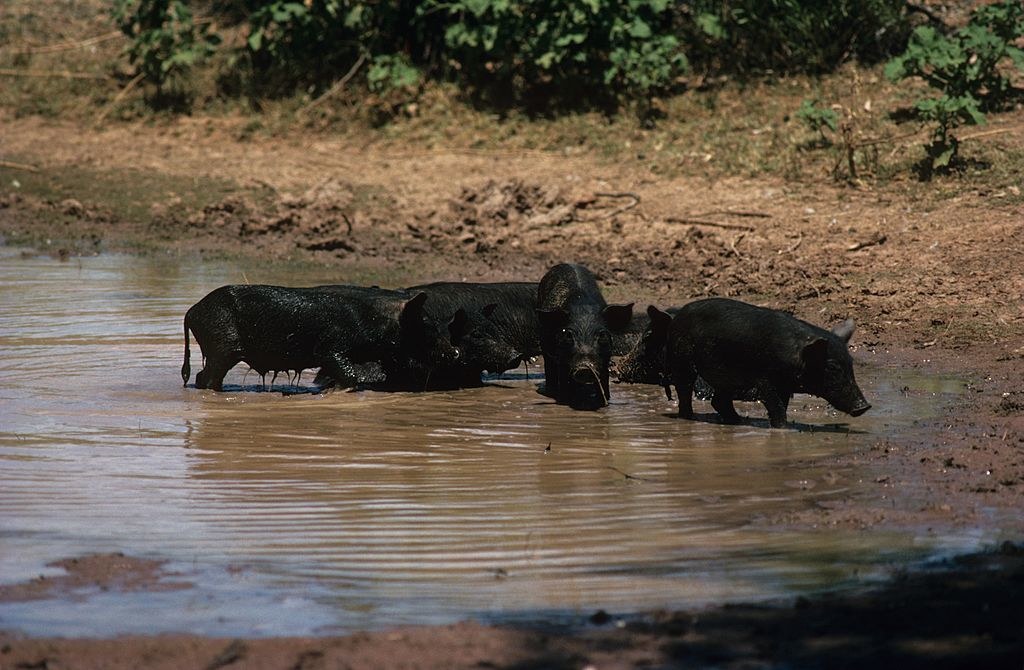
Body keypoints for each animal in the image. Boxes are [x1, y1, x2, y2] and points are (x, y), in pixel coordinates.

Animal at [182, 284, 458, 391]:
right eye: (427, 324)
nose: (454, 352)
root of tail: (191, 311)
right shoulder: (330, 346)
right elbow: (343, 370)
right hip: (221, 345)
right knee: (206, 377)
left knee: (202, 376)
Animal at [536, 262, 630, 409]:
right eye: (568, 334)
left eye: (602, 335)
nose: (585, 367)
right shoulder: (561, 358)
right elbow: (564, 383)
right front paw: (565, 401)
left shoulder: (605, 359)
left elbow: (604, 384)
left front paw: (604, 402)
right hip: (545, 349)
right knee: (550, 371)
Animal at [663, 301, 872, 430]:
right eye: (832, 368)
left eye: (851, 365)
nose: (864, 406)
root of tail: (678, 316)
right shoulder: (764, 380)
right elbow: (776, 407)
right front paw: (783, 429)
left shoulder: (784, 386)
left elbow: (783, 406)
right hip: (682, 361)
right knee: (685, 392)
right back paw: (688, 418)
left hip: (727, 376)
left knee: (719, 401)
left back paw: (738, 421)